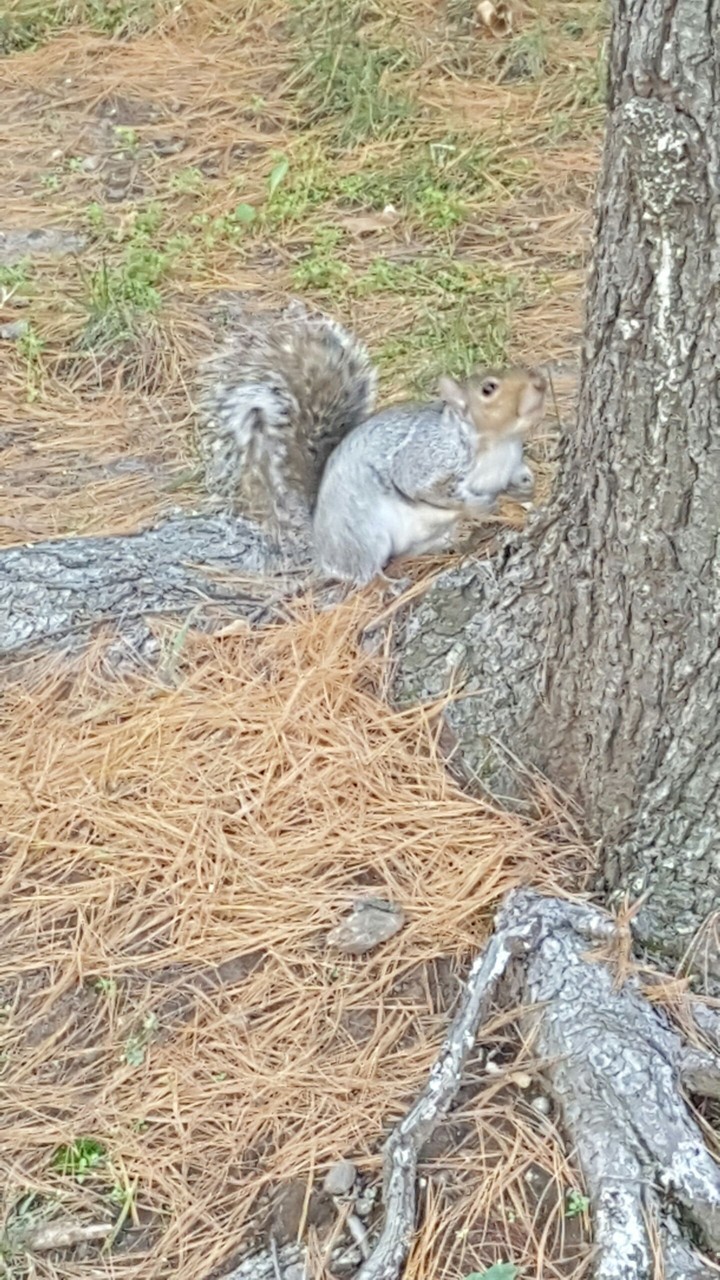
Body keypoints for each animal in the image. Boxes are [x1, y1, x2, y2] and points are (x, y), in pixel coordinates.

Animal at [312, 367, 547, 585]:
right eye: (488, 388)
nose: (539, 382)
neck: (501, 444)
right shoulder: (425, 464)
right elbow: (436, 493)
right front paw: (479, 506)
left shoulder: (508, 467)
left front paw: (526, 486)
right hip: (364, 536)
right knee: (369, 571)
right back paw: (393, 583)